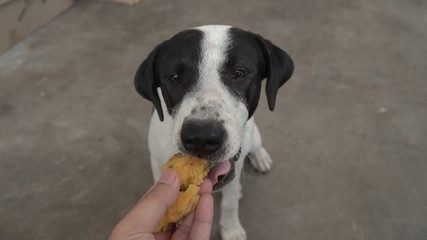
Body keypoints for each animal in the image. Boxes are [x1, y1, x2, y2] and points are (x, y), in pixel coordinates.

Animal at [135, 25, 294, 239]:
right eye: (174, 77)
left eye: (239, 73)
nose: (201, 138)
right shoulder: (157, 161)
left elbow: (230, 202)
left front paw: (231, 229)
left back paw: (260, 157)